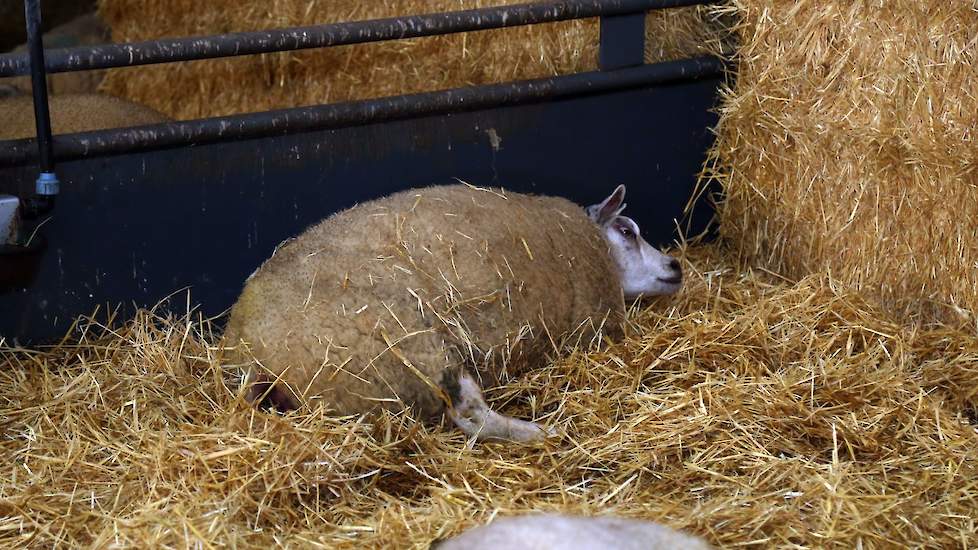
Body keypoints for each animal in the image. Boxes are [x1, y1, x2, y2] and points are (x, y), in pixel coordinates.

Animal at [222, 185, 684, 444]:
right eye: (627, 231)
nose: (676, 267)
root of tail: (252, 356)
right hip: (406, 349)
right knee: (469, 416)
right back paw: (540, 433)